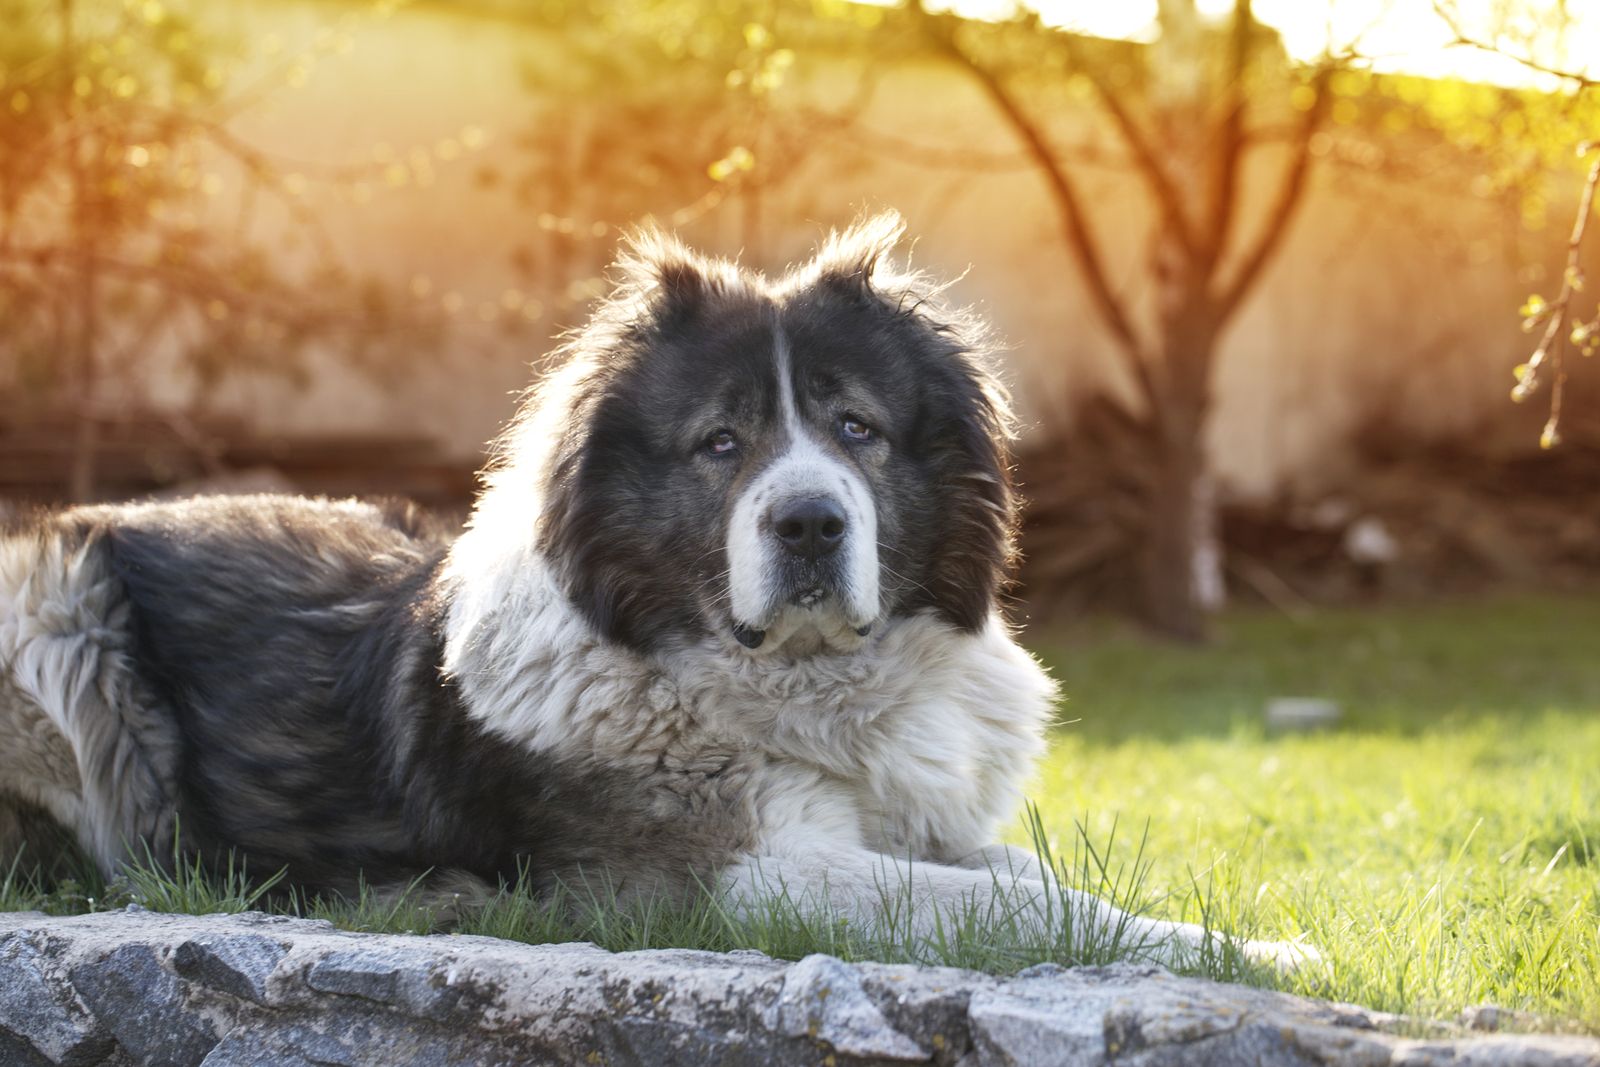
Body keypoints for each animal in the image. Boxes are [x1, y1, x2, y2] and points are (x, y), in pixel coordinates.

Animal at [0, 214, 1305, 966]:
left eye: (856, 429)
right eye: (720, 443)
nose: (809, 521)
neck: (798, 687)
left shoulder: (914, 823)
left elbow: (1022, 876)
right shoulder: (729, 879)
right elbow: (1015, 911)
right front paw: (1250, 952)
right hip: (56, 615)